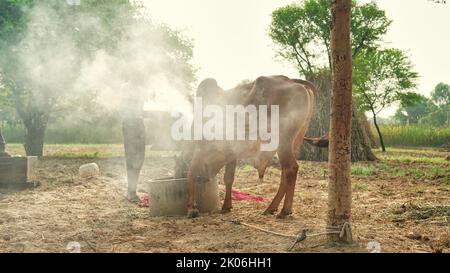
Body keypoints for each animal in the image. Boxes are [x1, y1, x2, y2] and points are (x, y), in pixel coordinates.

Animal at [186, 75, 316, 218]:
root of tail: (293, 81)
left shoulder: (201, 147)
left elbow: (192, 171)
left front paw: (191, 208)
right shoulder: (231, 151)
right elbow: (228, 177)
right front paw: (226, 206)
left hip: (283, 142)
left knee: (290, 169)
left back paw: (284, 210)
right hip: (293, 145)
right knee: (285, 172)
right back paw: (272, 208)